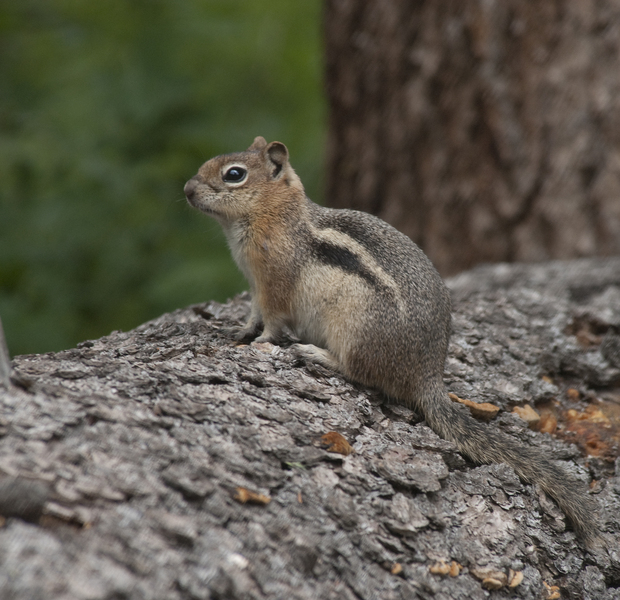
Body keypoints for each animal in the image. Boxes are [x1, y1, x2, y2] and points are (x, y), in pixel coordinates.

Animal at [185, 137, 600, 548]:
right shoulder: (256, 287)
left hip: (354, 330)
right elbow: (253, 314)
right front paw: (238, 330)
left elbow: (272, 322)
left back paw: (316, 353)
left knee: (360, 373)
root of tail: (427, 376)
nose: (187, 189)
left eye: (234, 174)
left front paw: (261, 343)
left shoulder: (273, 286)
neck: (276, 215)